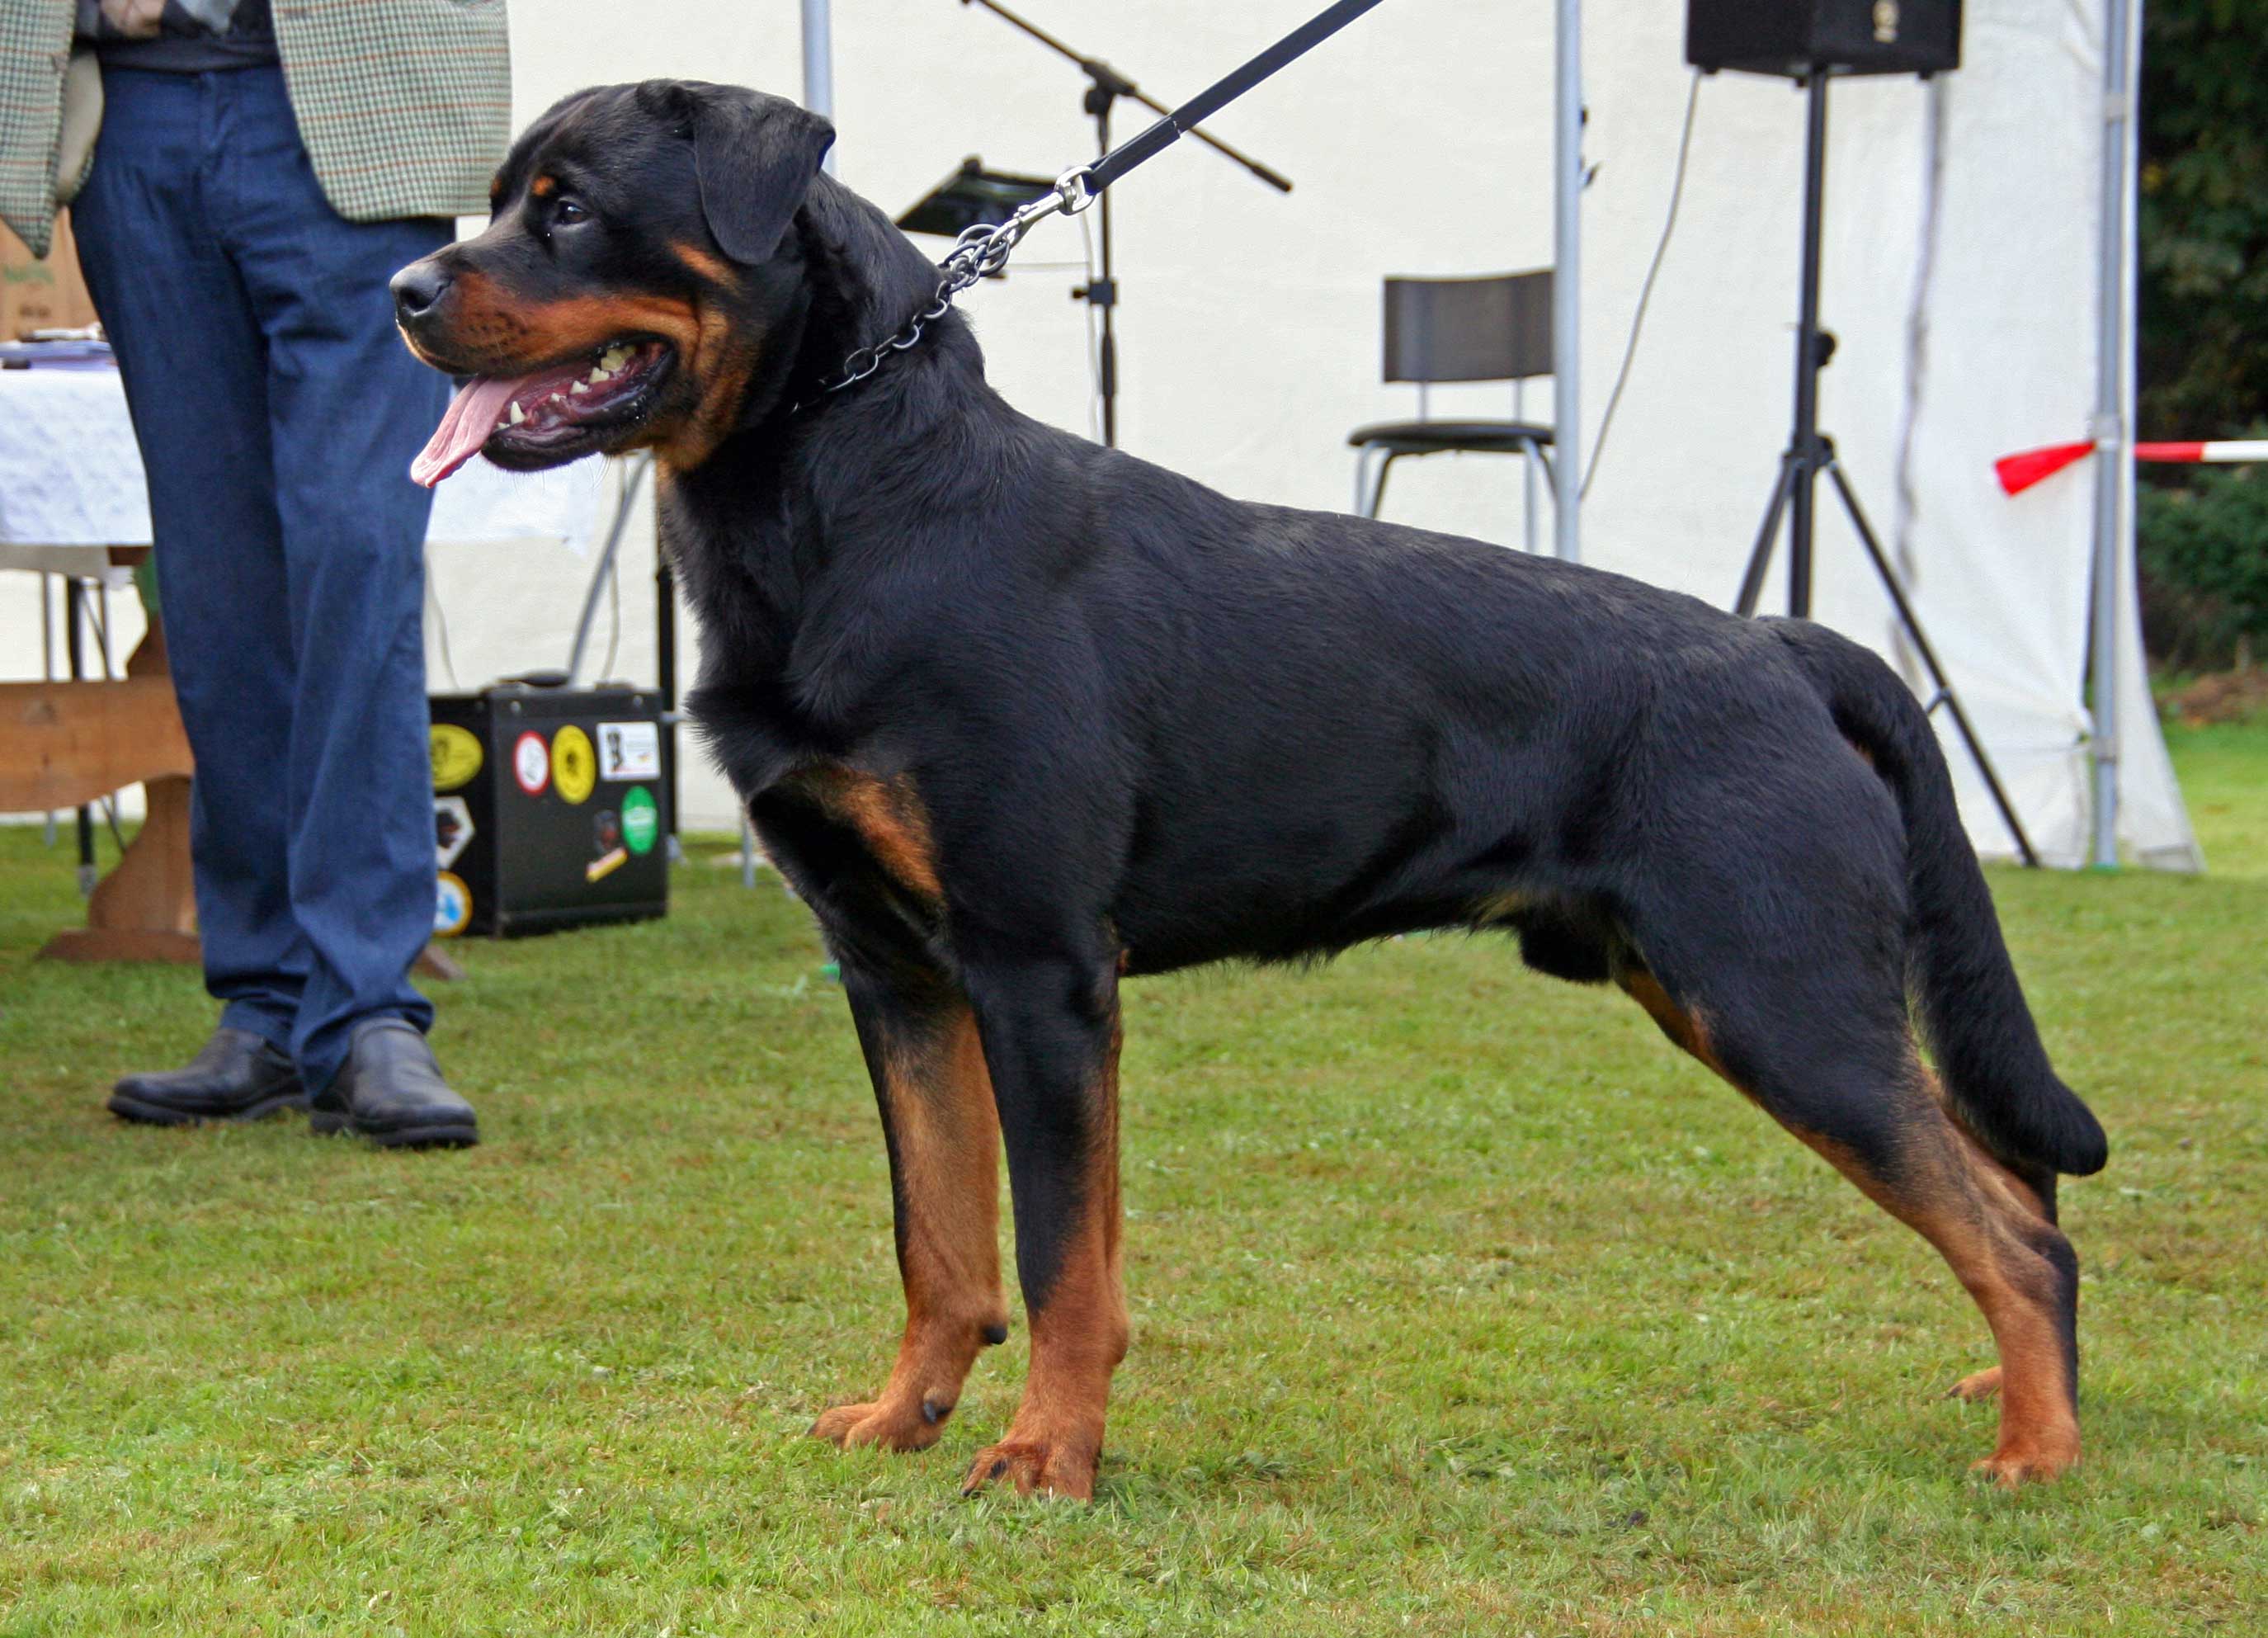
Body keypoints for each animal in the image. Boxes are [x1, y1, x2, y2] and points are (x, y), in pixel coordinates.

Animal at [389, 86, 2105, 1497]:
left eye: (565, 207)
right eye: (501, 201)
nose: (403, 291)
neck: (848, 494)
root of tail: (1780, 642)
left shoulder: (1038, 970)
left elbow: (1057, 1255)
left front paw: (1045, 1462)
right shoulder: (894, 972)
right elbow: (936, 1239)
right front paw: (905, 1418)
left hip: (1772, 991)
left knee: (2016, 1226)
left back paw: (2034, 1452)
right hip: (1745, 990)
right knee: (2005, 1181)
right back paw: (2023, 1402)